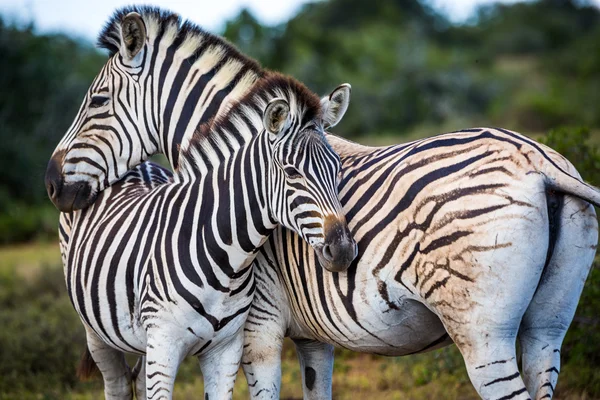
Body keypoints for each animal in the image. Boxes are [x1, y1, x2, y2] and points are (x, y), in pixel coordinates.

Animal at [48, 72, 356, 400]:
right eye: (291, 172)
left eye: (337, 168)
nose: (343, 250)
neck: (225, 260)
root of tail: (140, 165)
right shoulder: (164, 344)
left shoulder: (225, 350)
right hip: (97, 332)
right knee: (117, 383)